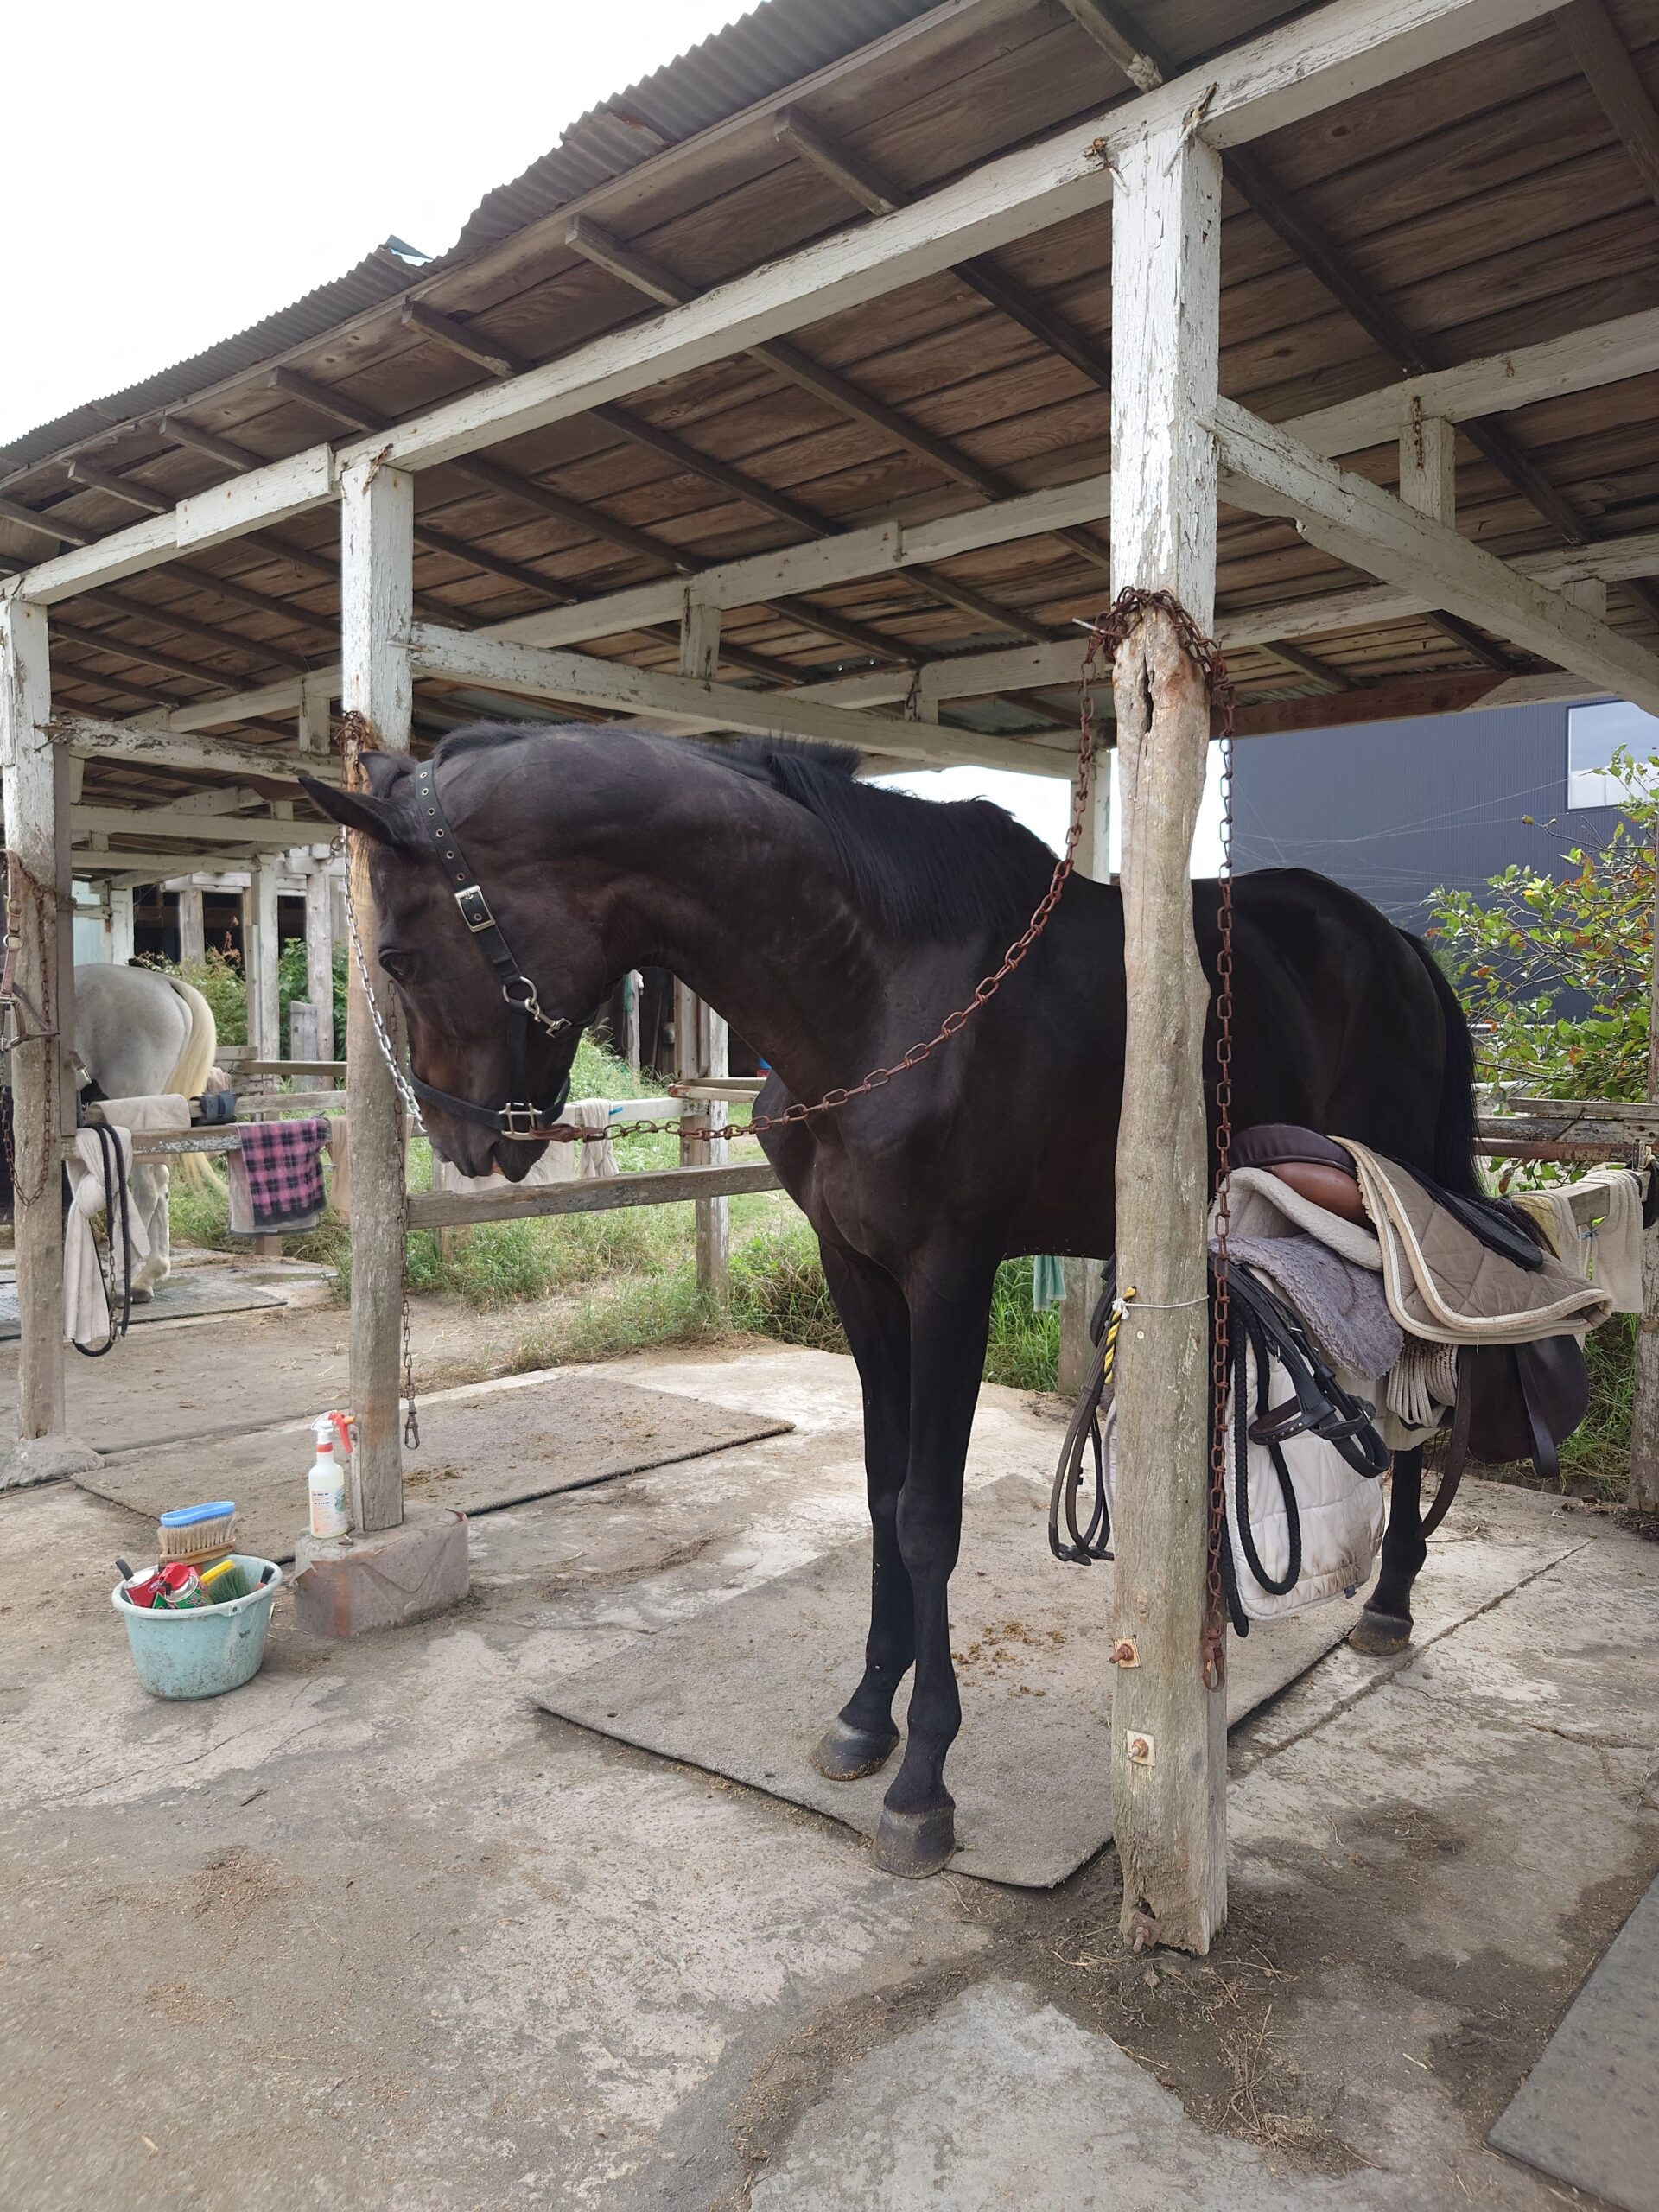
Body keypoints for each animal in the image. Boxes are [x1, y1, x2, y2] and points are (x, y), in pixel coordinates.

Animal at [304, 725, 1478, 1879]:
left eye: (398, 955)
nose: (461, 1141)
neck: (877, 984)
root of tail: (1399, 946)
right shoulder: (855, 1271)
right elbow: (878, 1496)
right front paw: (867, 1714)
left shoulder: (949, 1275)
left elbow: (927, 1516)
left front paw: (924, 1780)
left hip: (1392, 1205)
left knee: (1424, 1388)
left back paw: (1387, 1601)